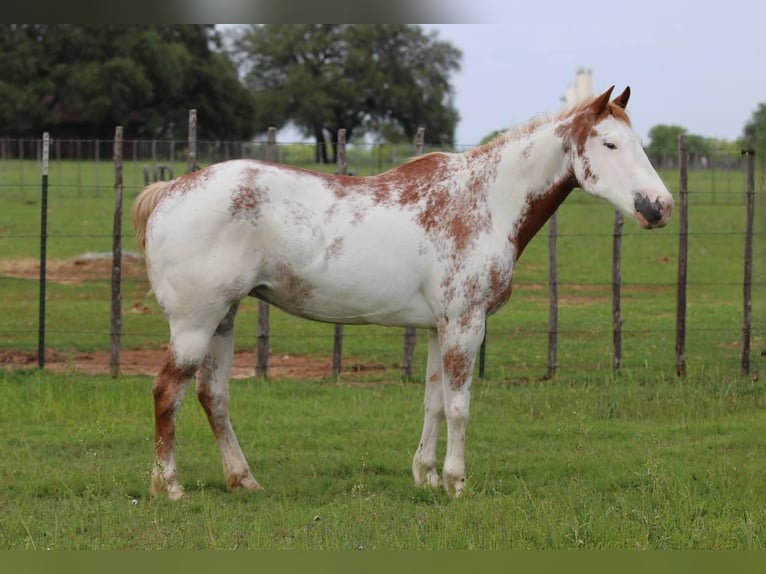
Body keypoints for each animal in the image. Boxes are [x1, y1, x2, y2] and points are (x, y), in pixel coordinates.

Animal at [132, 86, 673, 500]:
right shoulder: (464, 325)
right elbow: (459, 405)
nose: (660, 206)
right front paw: (455, 483)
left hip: (223, 319)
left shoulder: (438, 328)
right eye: (609, 144)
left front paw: (426, 476)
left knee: (213, 396)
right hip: (195, 324)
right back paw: (169, 487)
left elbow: (433, 401)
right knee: (167, 392)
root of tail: (170, 191)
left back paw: (242, 480)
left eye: (638, 143)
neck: (484, 201)